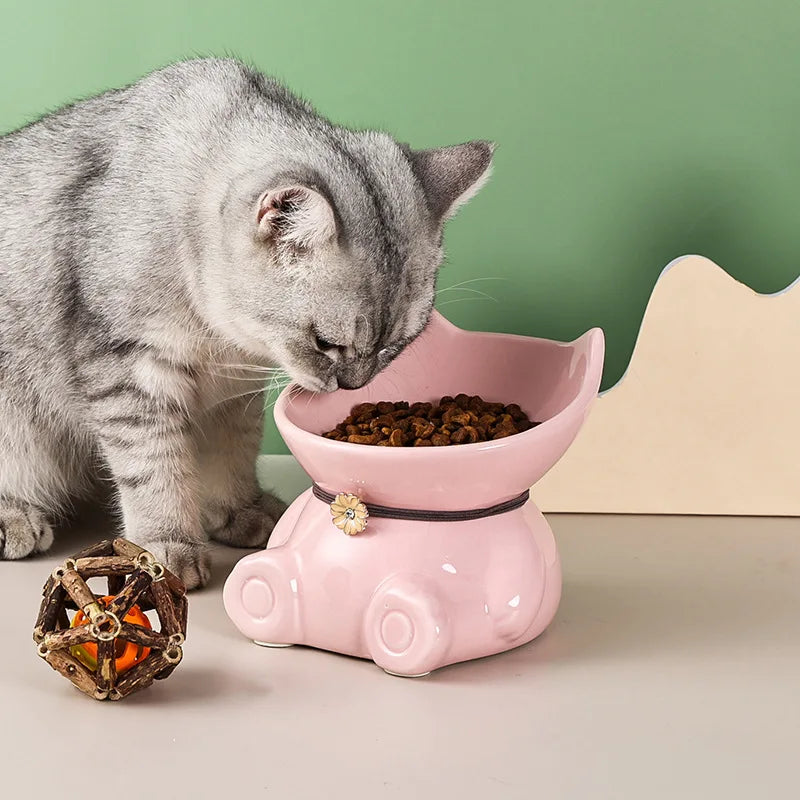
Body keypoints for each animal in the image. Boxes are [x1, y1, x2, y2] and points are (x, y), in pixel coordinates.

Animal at [0, 57, 494, 588]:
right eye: (325, 343)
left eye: (391, 348)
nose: (352, 385)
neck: (218, 336)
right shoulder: (130, 371)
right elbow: (155, 468)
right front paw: (164, 547)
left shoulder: (235, 389)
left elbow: (233, 456)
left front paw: (239, 511)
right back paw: (14, 518)